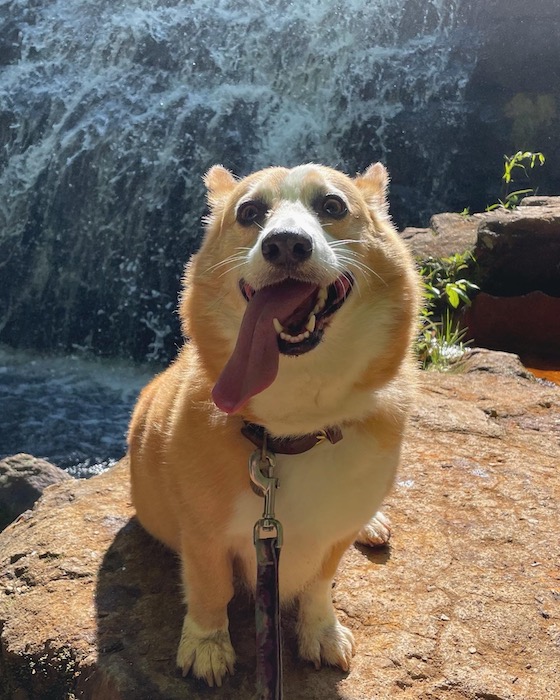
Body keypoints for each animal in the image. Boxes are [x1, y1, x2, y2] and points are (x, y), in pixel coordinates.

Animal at [128, 161, 420, 688]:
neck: (293, 428)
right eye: (249, 212)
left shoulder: (333, 534)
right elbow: (209, 588)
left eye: (332, 205)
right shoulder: (202, 536)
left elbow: (320, 583)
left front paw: (321, 631)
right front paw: (207, 645)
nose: (285, 244)